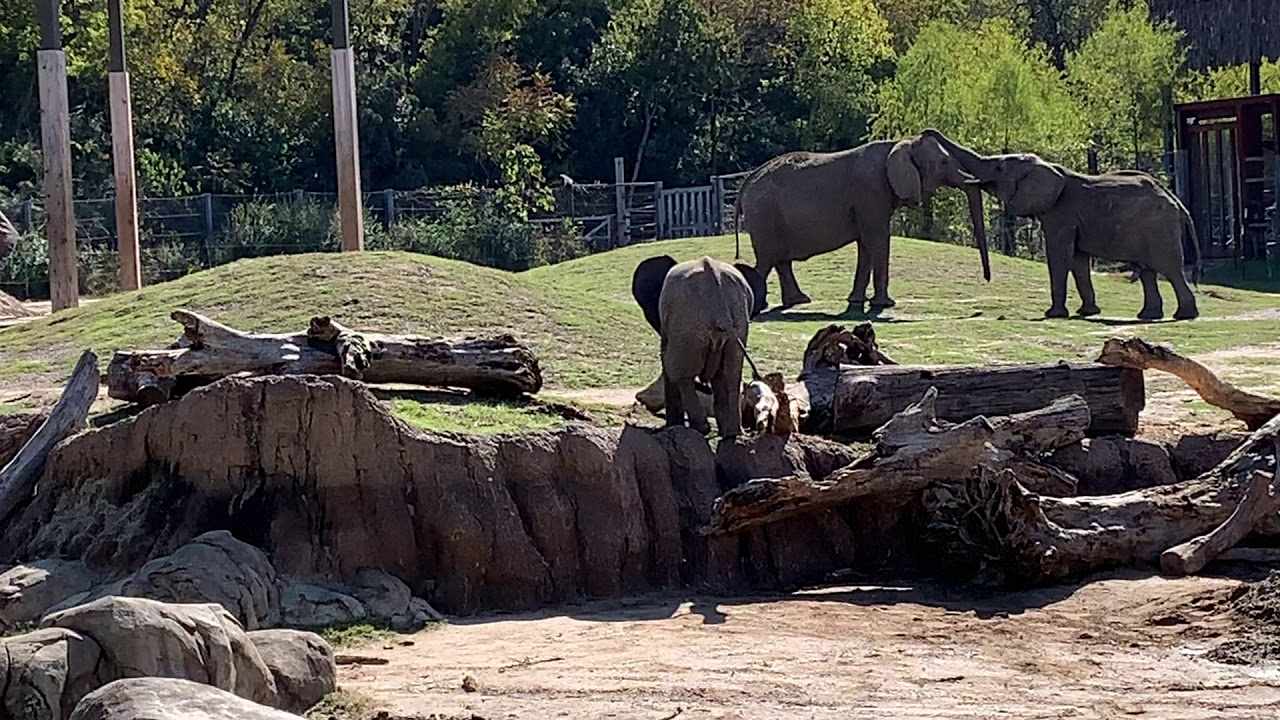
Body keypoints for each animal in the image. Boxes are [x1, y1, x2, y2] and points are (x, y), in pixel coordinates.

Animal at [631, 254, 768, 439]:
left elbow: (667, 362)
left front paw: (672, 427)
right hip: (737, 326)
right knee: (731, 375)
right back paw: (731, 433)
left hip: (687, 326)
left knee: (682, 374)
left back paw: (700, 428)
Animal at [732, 130, 991, 310]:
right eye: (944, 163)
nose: (986, 279)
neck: (898, 143)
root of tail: (747, 181)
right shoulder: (871, 191)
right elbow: (878, 239)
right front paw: (885, 304)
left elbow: (866, 245)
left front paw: (857, 301)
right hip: (763, 215)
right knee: (766, 260)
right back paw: (761, 304)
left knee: (779, 260)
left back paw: (799, 301)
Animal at [925, 129, 1202, 321]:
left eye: (999, 167)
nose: (927, 133)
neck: (1051, 168)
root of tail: (1178, 203)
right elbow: (1078, 261)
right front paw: (1087, 312)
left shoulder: (1061, 214)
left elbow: (1059, 256)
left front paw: (1053, 314)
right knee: (1148, 272)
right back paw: (1148, 316)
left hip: (1160, 229)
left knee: (1170, 269)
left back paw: (1184, 316)